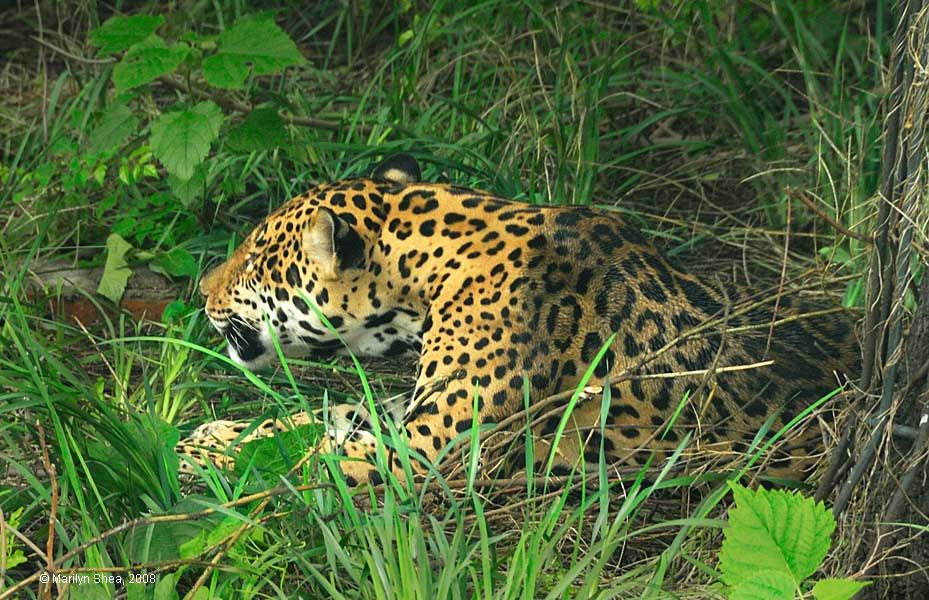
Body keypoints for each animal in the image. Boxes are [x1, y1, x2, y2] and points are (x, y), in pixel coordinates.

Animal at [179, 154, 858, 487]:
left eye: (254, 259)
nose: (200, 290)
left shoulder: (428, 450)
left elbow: (301, 462)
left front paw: (200, 463)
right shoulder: (415, 412)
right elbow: (324, 418)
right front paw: (209, 436)